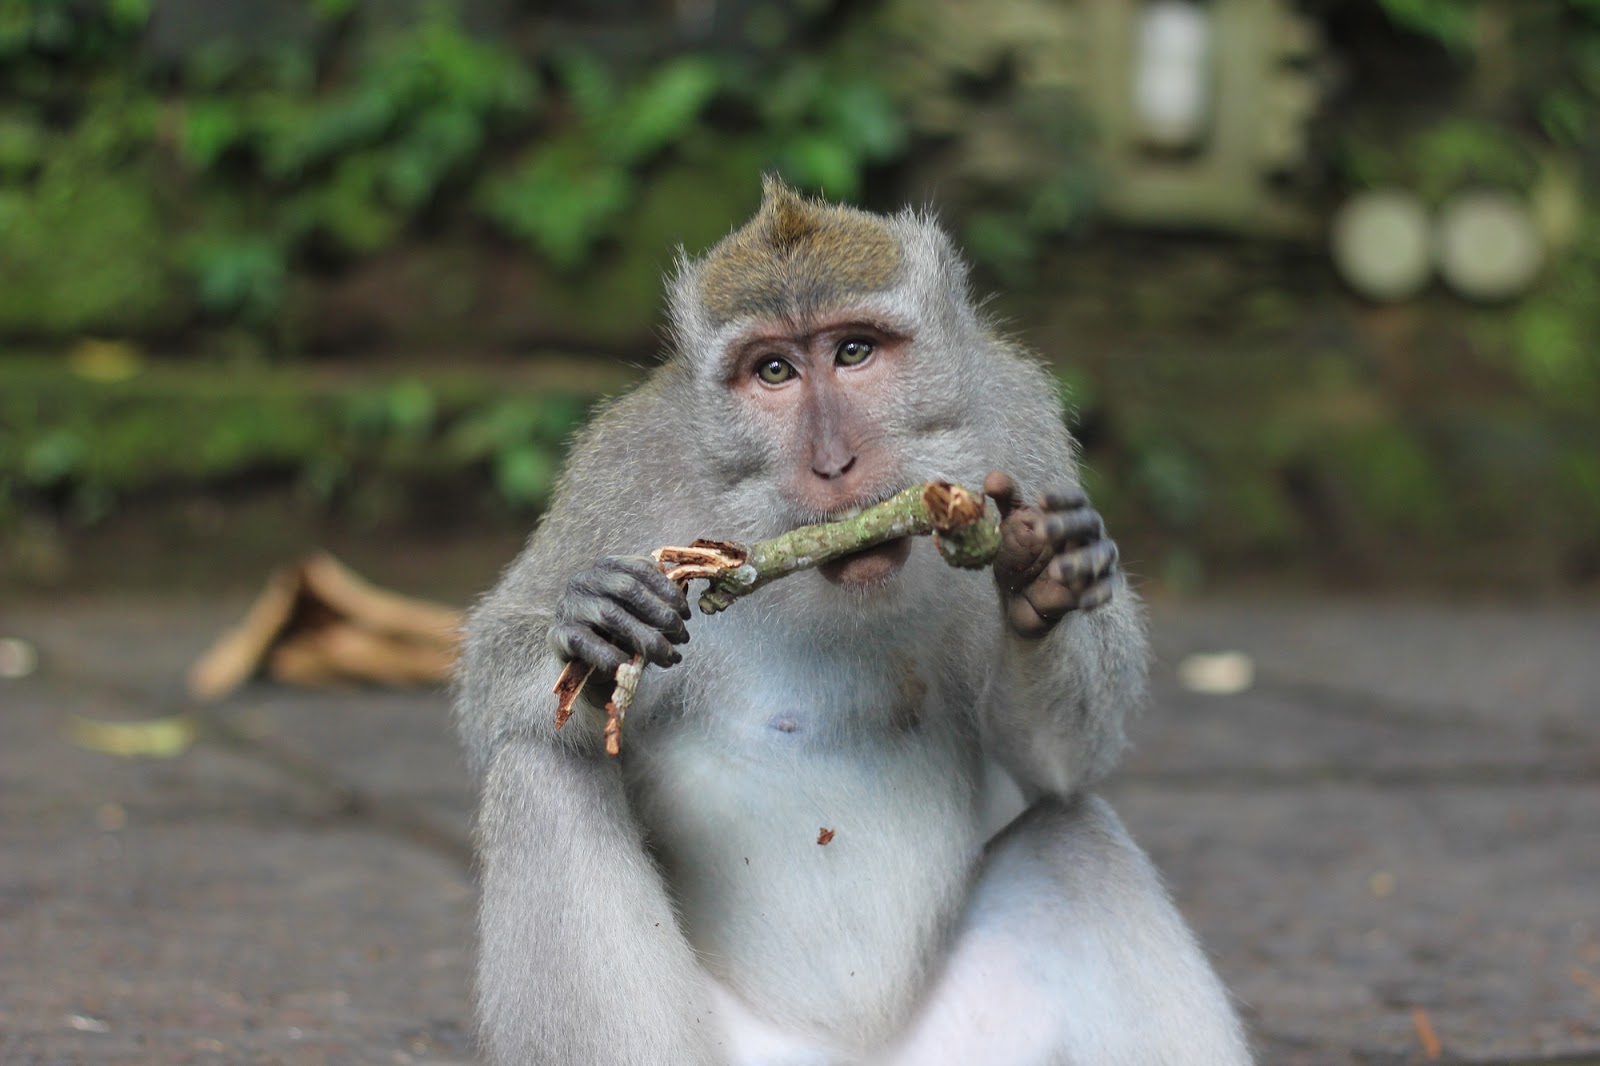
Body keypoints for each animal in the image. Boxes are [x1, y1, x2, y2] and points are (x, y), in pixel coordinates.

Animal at [451, 178, 1248, 1056]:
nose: (835, 463)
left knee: (1077, 837)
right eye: (774, 370)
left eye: (855, 352)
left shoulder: (1016, 425)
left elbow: (1063, 765)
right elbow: (491, 691)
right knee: (542, 771)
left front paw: (1044, 580)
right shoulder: (621, 471)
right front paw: (591, 622)